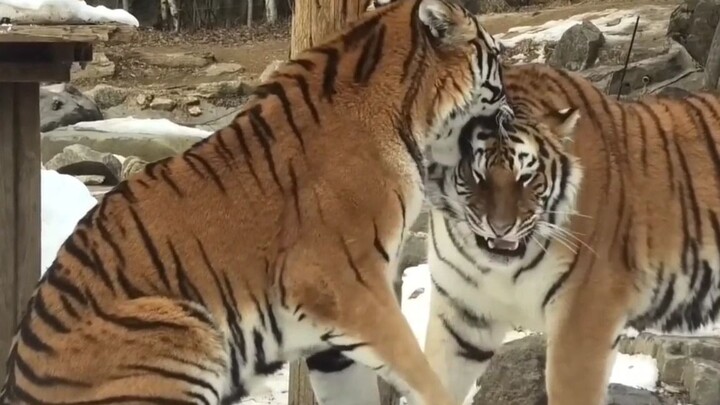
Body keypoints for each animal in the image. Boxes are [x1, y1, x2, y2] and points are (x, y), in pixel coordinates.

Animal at [0, 0, 515, 403]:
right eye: (495, 59)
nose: (511, 113)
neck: (413, 116)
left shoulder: (329, 331)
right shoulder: (348, 286)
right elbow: (421, 374)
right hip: (183, 330)